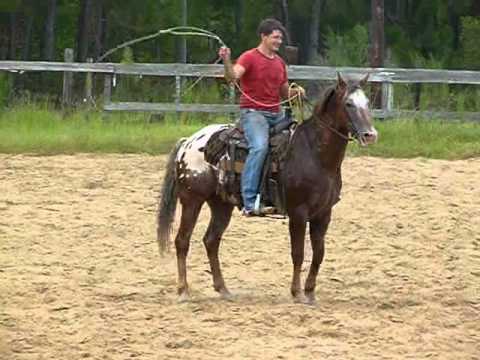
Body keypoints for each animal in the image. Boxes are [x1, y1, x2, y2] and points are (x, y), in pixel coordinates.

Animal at [158, 73, 378, 304]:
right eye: (348, 103)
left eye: (367, 103)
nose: (370, 135)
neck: (314, 154)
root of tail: (188, 142)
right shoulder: (298, 213)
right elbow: (298, 253)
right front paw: (297, 293)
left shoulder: (324, 213)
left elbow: (319, 253)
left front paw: (310, 293)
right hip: (191, 199)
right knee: (182, 241)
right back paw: (183, 291)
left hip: (221, 204)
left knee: (211, 241)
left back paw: (223, 289)